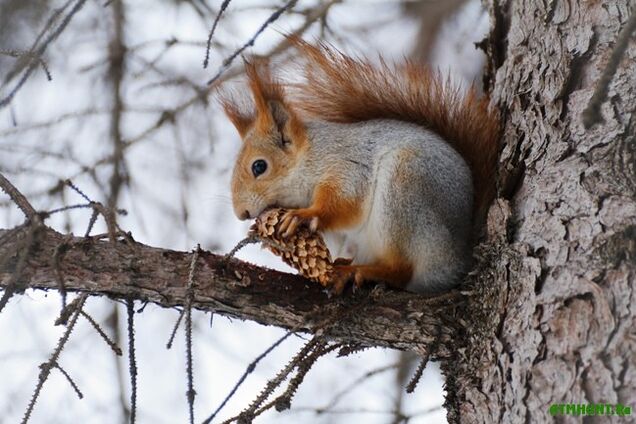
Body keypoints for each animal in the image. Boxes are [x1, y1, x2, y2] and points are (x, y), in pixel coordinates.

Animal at [221, 39, 500, 294]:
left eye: (259, 167)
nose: (241, 213)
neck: (310, 157)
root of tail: (459, 258)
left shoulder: (348, 166)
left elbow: (344, 203)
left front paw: (304, 216)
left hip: (406, 189)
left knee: (402, 270)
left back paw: (361, 271)